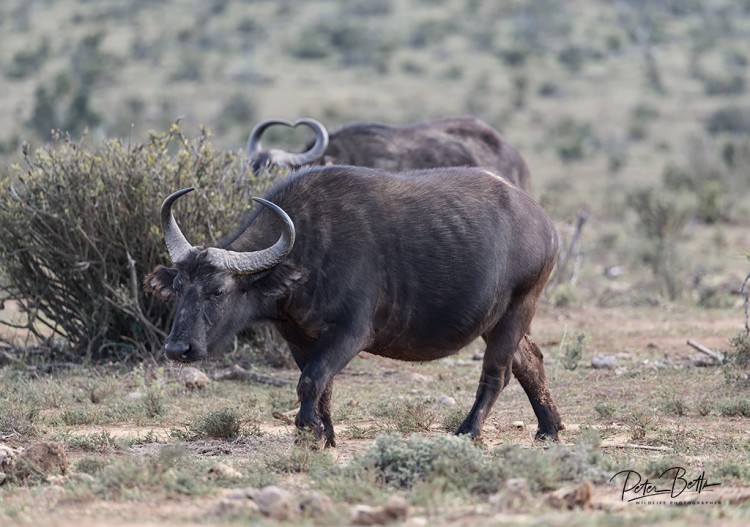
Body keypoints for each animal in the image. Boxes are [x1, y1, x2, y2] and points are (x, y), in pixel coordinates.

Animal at [144, 165, 560, 446]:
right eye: (178, 288)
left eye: (217, 290)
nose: (177, 349)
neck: (307, 251)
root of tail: (544, 222)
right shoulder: (299, 338)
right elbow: (319, 383)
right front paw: (324, 434)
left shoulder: (350, 333)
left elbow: (310, 380)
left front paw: (308, 431)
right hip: (497, 319)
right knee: (530, 361)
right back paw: (549, 428)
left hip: (519, 307)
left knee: (497, 374)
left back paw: (468, 431)